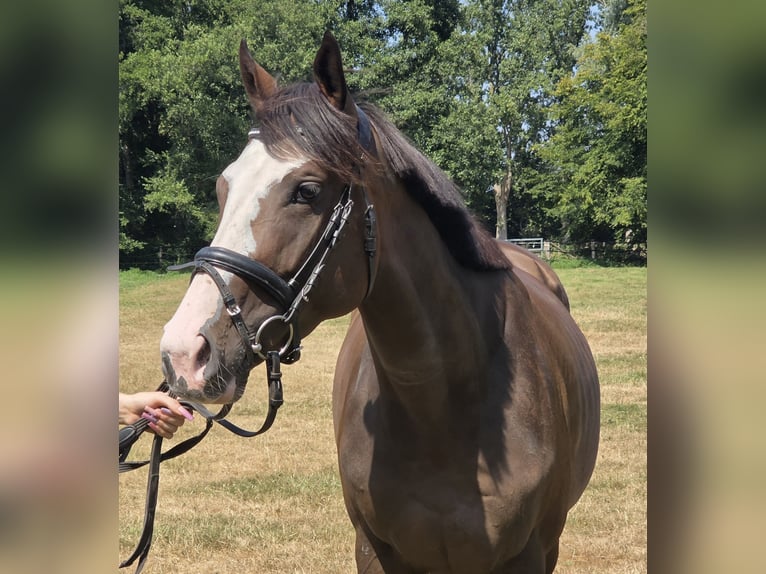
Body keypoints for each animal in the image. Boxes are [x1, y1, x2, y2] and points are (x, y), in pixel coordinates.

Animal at [159, 31, 600, 574]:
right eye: (224, 187)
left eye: (307, 190)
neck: (442, 409)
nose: (183, 353)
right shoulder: (373, 549)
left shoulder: (532, 554)